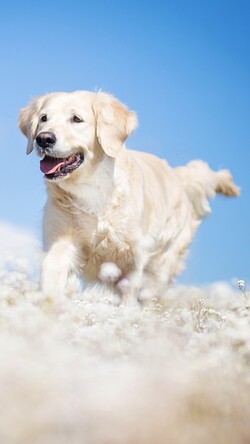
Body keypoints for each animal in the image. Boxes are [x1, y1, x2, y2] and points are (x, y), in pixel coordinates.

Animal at [19, 90, 238, 298]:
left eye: (76, 119)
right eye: (43, 118)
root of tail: (177, 175)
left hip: (163, 261)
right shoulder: (60, 242)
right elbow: (51, 281)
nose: (43, 139)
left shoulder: (133, 256)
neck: (93, 189)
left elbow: (129, 295)